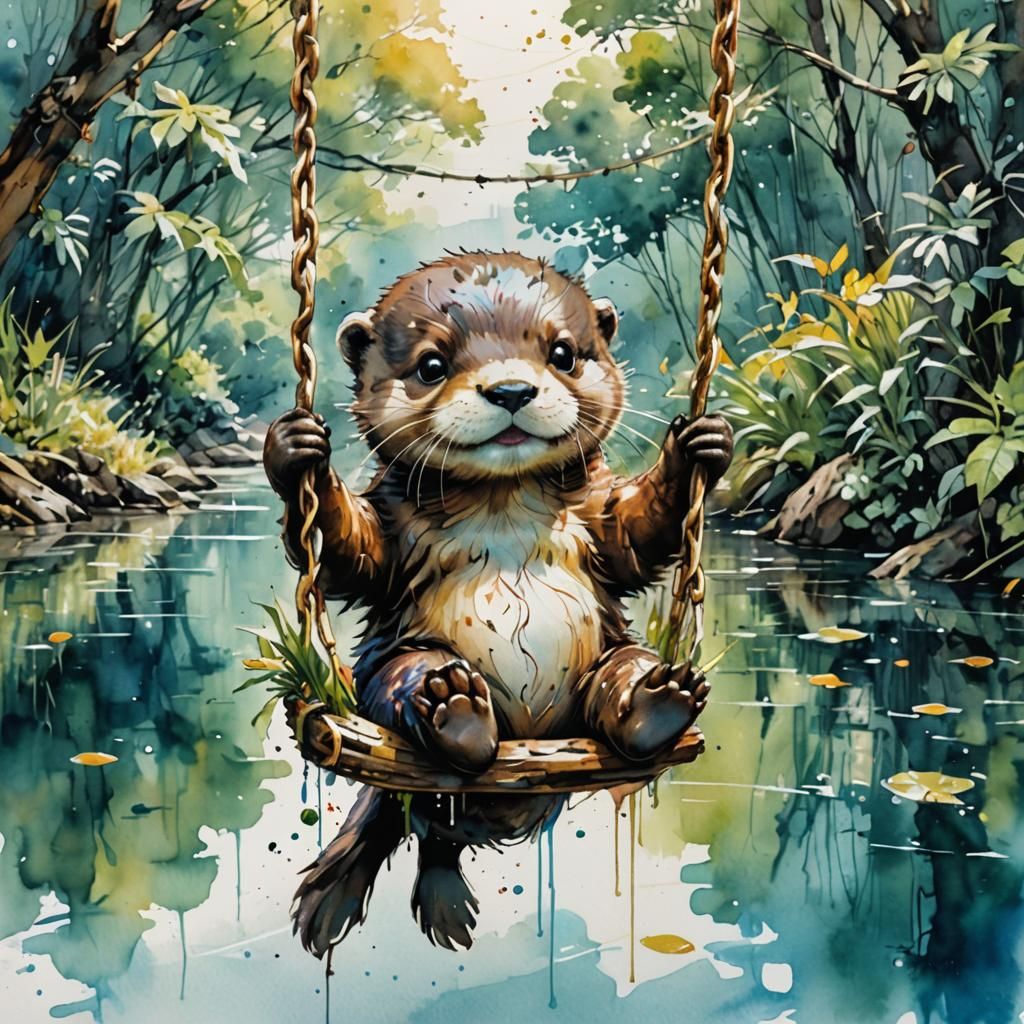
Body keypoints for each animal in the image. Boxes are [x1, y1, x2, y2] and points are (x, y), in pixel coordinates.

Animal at [264, 251, 732, 954]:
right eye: (432, 365)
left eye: (563, 353)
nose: (511, 390)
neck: (504, 511)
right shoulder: (392, 524)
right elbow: (351, 548)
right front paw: (297, 454)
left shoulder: (598, 514)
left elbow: (637, 530)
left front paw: (700, 444)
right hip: (389, 673)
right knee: (420, 736)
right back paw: (455, 714)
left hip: (604, 664)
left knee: (616, 684)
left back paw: (655, 705)